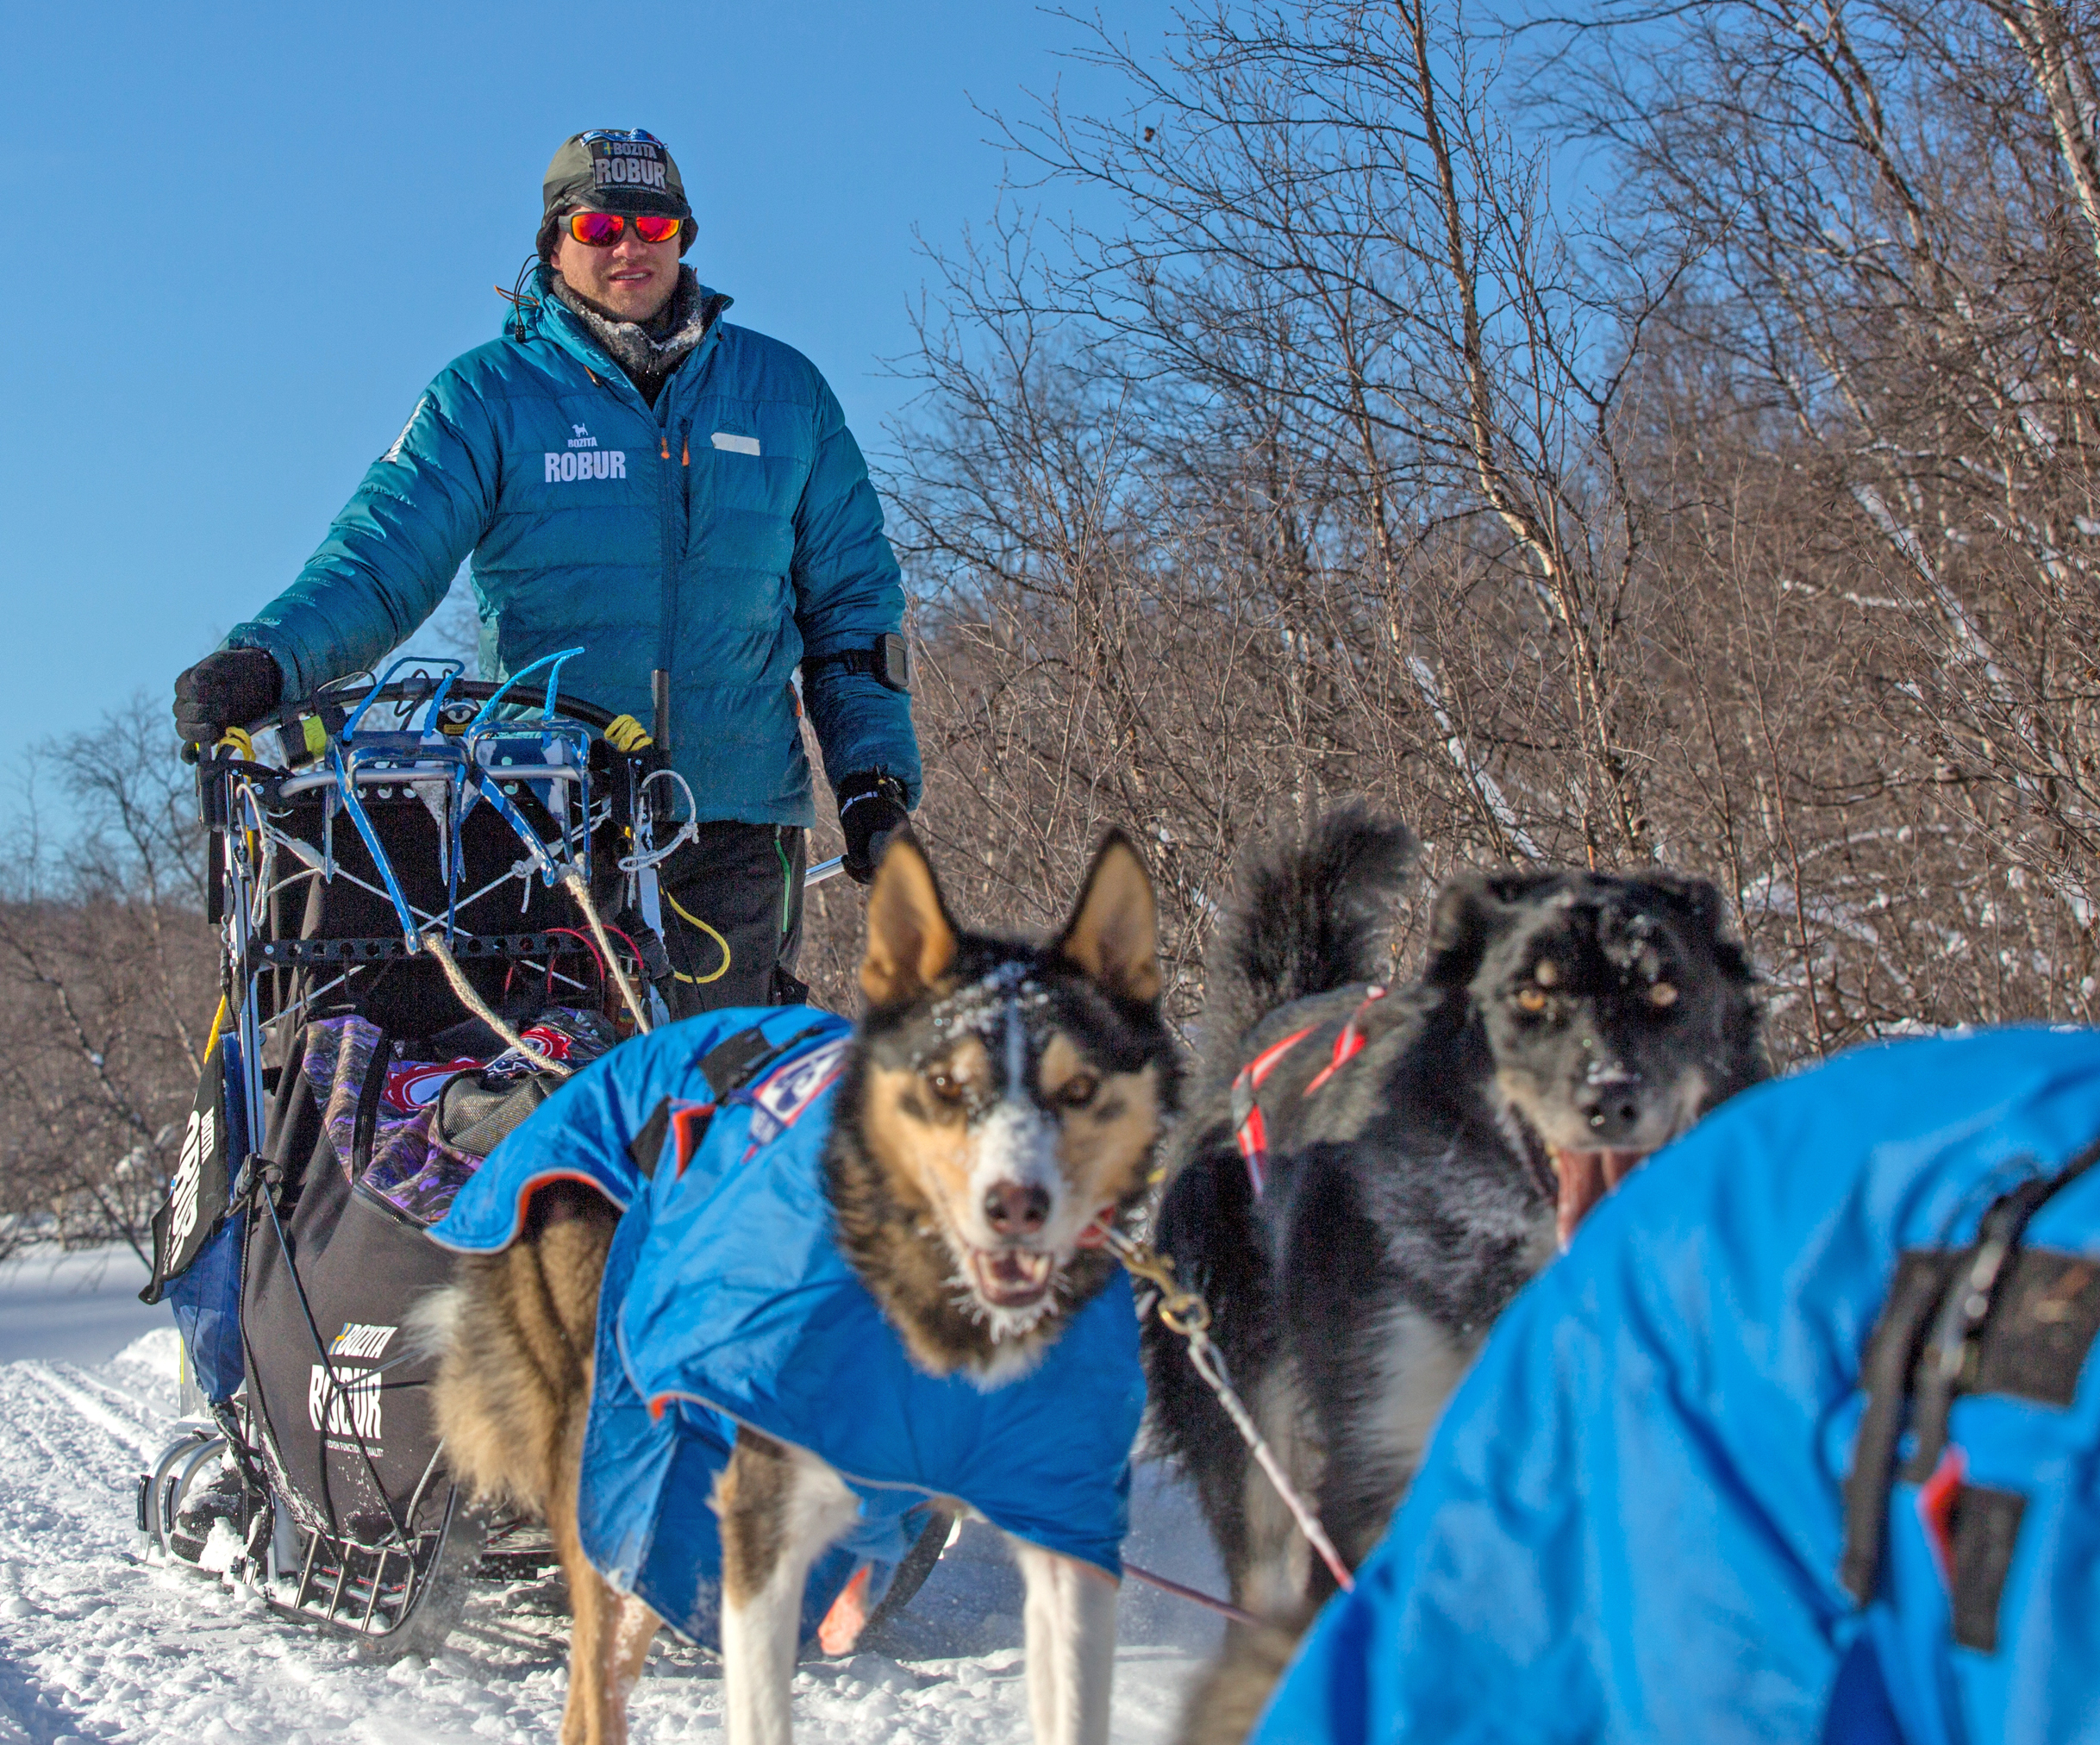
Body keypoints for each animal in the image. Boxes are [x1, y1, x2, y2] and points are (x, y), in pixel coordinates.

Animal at [426, 831, 1184, 1745]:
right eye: (945, 1085)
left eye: (1079, 1090)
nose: (1016, 1208)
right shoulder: (762, 1515)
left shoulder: (1061, 1521)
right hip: (621, 1470)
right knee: (595, 1678)